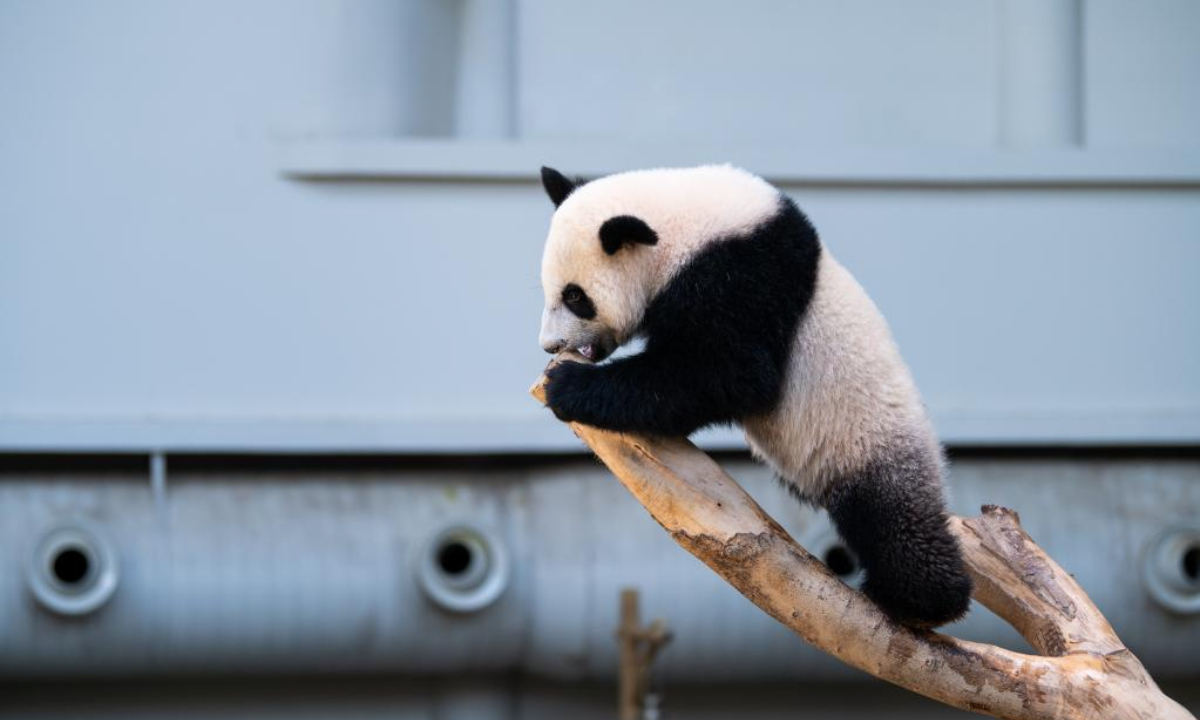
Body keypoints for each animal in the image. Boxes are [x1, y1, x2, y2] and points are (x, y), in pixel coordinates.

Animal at [536, 164, 972, 628]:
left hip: (866, 434)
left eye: (575, 296)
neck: (680, 225)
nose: (549, 346)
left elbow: (731, 372)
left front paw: (568, 386)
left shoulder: (741, 273)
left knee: (894, 518)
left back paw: (919, 599)